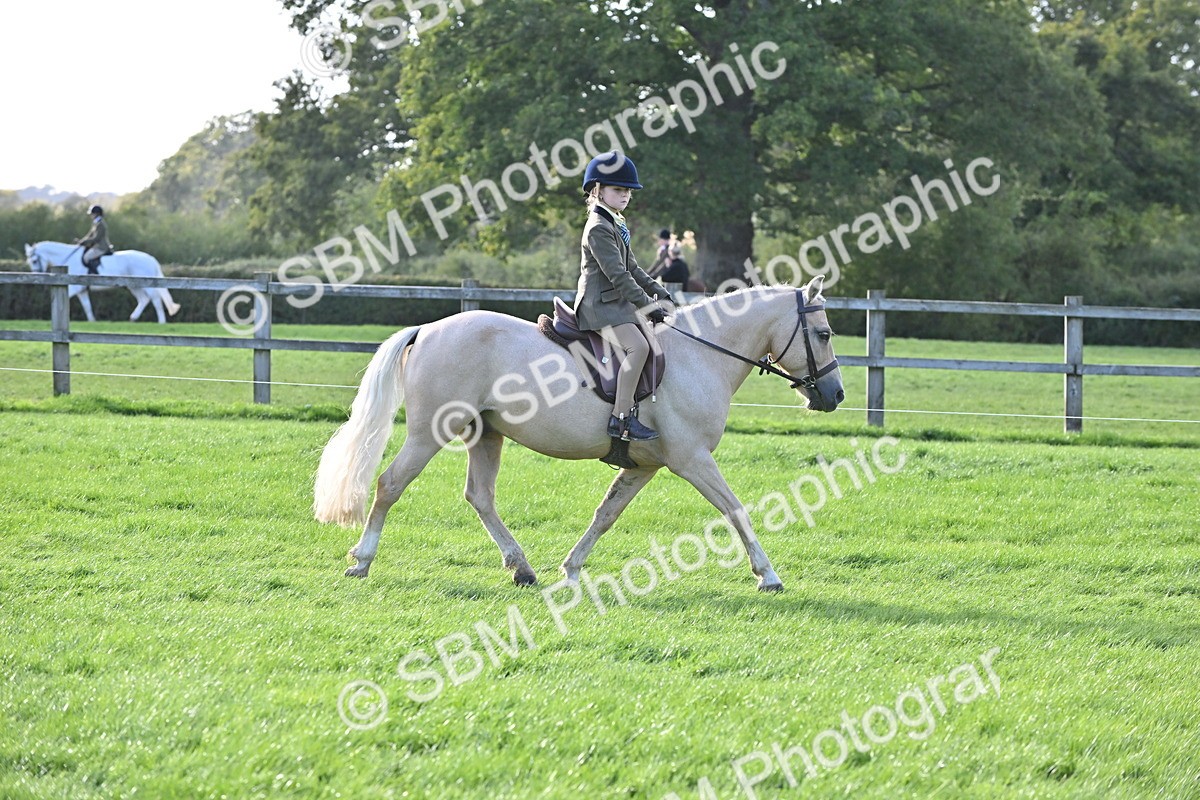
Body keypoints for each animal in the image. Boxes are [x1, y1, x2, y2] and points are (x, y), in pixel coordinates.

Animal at [24, 241, 181, 323]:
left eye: (34, 260)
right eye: (30, 261)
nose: (36, 276)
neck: (68, 258)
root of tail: (150, 258)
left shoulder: (75, 288)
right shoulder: (81, 291)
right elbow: (87, 306)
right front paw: (92, 321)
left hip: (146, 284)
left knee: (155, 299)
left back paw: (161, 322)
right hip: (133, 285)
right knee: (144, 299)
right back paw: (133, 318)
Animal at [313, 275, 843, 592]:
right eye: (824, 335)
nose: (834, 395)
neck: (702, 354)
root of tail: (428, 327)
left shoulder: (645, 466)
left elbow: (605, 515)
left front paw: (569, 569)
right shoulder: (692, 460)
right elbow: (735, 509)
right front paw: (768, 574)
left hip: (486, 434)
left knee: (480, 497)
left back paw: (521, 567)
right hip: (428, 433)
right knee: (390, 484)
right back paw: (361, 560)